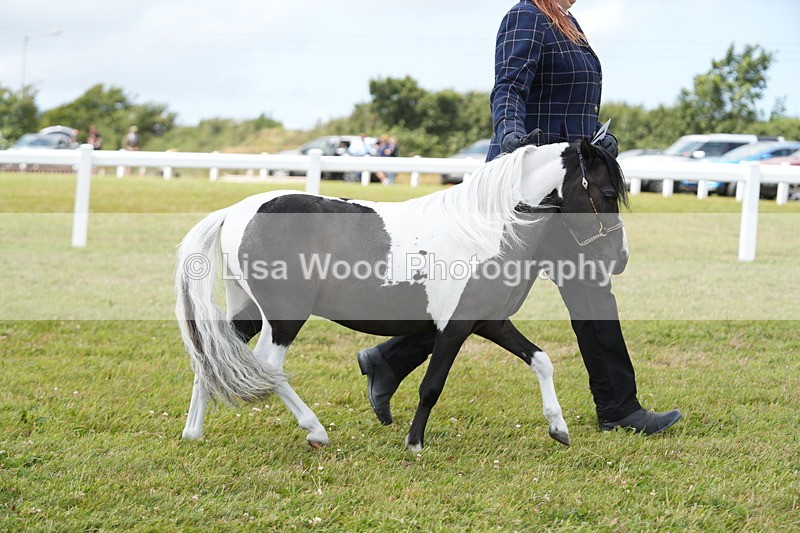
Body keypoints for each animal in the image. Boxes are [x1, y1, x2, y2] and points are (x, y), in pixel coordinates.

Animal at [175, 138, 628, 451]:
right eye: (607, 194)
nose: (619, 258)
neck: (486, 230)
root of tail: (233, 212)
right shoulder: (455, 327)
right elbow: (432, 386)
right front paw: (414, 444)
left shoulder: (489, 322)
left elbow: (541, 360)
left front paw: (559, 428)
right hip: (285, 317)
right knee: (269, 368)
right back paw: (316, 431)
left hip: (251, 311)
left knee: (210, 356)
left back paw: (193, 433)